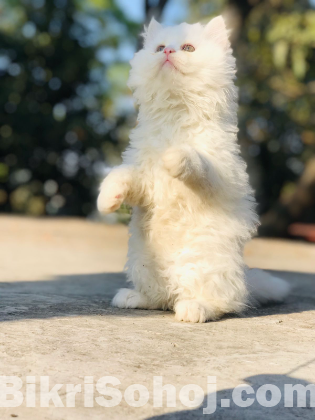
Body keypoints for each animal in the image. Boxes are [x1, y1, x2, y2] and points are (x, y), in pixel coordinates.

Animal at [97, 15, 292, 322]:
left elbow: (195, 160)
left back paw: (193, 309)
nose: (167, 52)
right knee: (160, 298)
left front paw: (174, 157)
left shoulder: (219, 174)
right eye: (159, 47)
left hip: (206, 267)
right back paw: (132, 297)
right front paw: (107, 201)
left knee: (221, 301)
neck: (176, 114)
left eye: (188, 48)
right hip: (142, 263)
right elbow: (119, 176)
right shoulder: (143, 179)